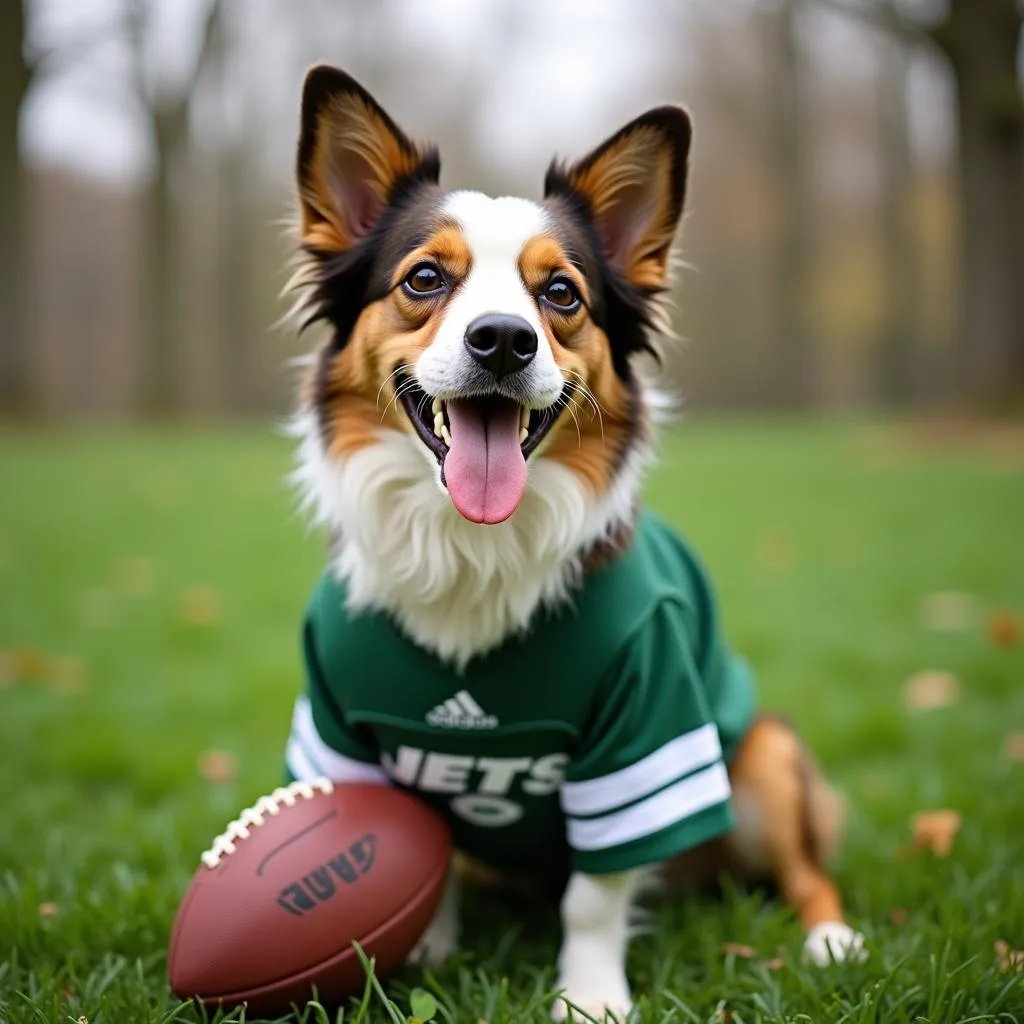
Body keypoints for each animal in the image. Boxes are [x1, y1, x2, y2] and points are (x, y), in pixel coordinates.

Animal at [282, 68, 864, 1019]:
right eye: (424, 278)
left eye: (560, 295)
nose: (503, 340)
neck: (471, 547)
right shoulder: (344, 735)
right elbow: (425, 852)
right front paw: (427, 951)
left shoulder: (646, 735)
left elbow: (594, 893)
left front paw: (590, 995)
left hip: (765, 757)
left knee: (804, 871)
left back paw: (829, 939)